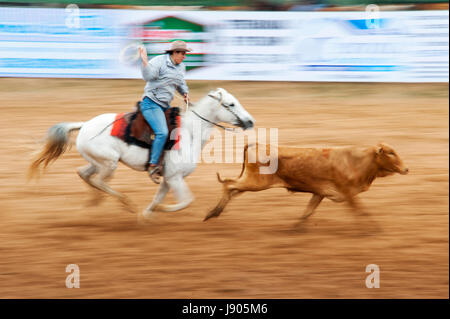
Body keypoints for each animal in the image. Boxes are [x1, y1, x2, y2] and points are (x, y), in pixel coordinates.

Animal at [28, 87, 255, 219]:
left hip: (97, 162)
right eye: (231, 104)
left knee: (84, 174)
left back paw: (95, 201)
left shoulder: (168, 179)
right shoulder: (175, 177)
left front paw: (147, 215)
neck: (189, 133)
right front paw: (162, 210)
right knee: (99, 181)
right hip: (109, 163)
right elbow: (186, 201)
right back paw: (125, 203)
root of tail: (84, 125)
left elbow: (157, 199)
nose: (250, 121)